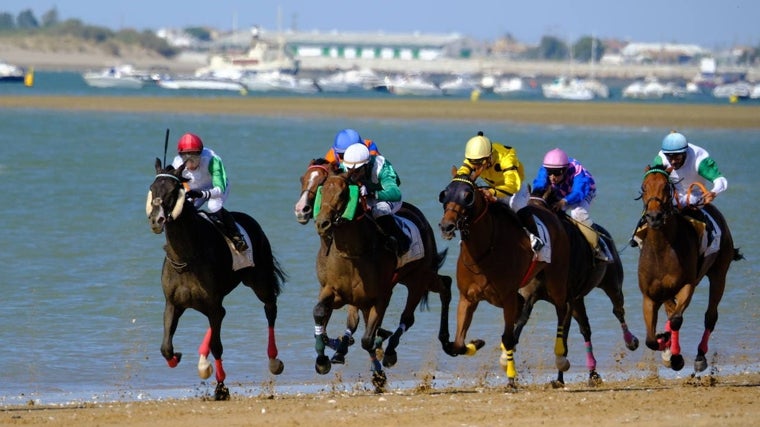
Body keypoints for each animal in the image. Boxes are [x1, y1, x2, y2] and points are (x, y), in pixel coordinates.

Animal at [148, 158, 288, 402]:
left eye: (173, 190)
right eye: (152, 188)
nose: (157, 219)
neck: (186, 258)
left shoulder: (212, 304)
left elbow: (217, 346)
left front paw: (221, 388)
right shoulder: (173, 304)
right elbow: (166, 347)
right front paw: (178, 357)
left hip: (259, 282)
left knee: (270, 309)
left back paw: (273, 360)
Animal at [314, 172, 452, 392]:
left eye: (344, 193)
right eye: (322, 189)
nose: (322, 223)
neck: (352, 254)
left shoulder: (380, 296)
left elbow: (367, 339)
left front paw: (379, 371)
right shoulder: (335, 292)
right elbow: (321, 315)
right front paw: (323, 360)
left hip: (418, 278)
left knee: (416, 311)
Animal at [440, 169, 568, 390]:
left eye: (468, 196)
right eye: (445, 194)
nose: (446, 226)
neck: (483, 253)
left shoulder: (507, 297)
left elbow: (508, 337)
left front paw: (511, 377)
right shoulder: (468, 297)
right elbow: (457, 344)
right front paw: (477, 343)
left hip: (556, 279)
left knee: (562, 310)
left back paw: (560, 358)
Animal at [520, 187, 640, 388]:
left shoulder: (565, 301)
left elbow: (563, 339)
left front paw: (560, 375)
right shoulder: (532, 296)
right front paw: (559, 379)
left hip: (612, 283)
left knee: (618, 310)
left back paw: (630, 341)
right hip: (578, 299)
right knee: (586, 328)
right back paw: (593, 373)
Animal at [636, 166, 744, 372]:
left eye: (666, 187)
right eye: (644, 187)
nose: (654, 217)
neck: (662, 250)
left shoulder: (687, 285)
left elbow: (676, 320)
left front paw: (675, 355)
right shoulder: (650, 296)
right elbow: (651, 340)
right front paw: (665, 345)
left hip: (719, 273)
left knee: (710, 316)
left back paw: (700, 355)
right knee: (671, 312)